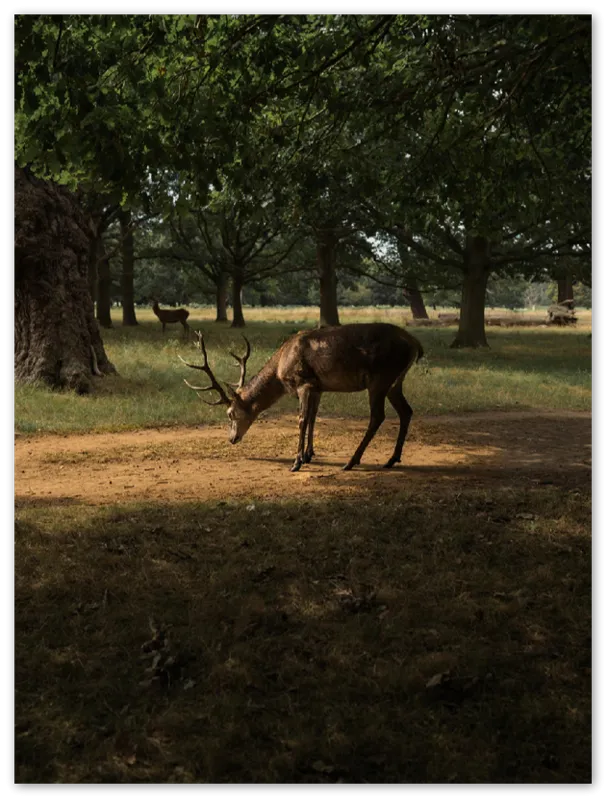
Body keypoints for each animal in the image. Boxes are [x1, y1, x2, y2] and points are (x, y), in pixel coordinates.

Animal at [180, 324, 426, 472]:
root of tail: (415, 343)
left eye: (230, 413)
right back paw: (392, 459)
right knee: (406, 411)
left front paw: (296, 461)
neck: (280, 369)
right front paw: (309, 454)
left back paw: (351, 461)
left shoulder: (303, 382)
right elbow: (313, 418)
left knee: (378, 416)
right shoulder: (318, 387)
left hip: (380, 378)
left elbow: (301, 420)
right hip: (395, 382)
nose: (231, 439)